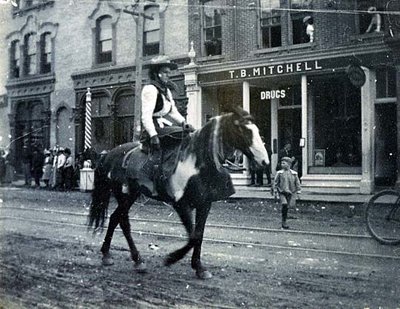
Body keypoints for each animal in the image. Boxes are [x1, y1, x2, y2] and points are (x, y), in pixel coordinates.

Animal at [87, 107, 268, 278]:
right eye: (244, 130)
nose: (265, 161)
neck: (196, 162)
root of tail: (107, 155)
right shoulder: (180, 204)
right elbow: (193, 236)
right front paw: (172, 258)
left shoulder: (205, 204)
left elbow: (199, 234)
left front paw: (199, 267)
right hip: (124, 194)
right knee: (123, 222)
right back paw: (135, 260)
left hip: (132, 194)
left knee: (115, 218)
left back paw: (109, 255)